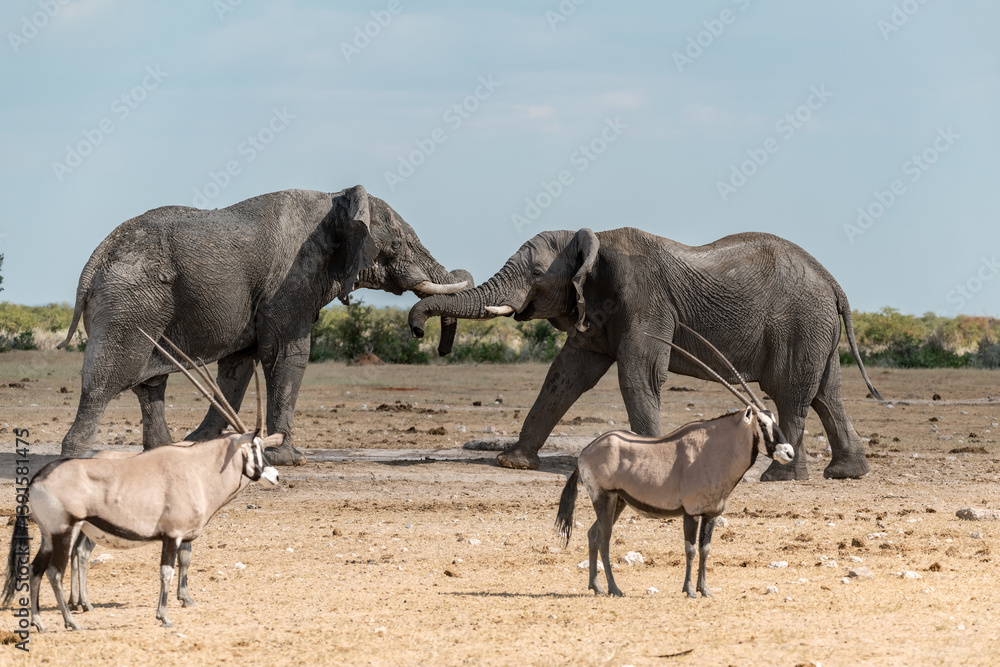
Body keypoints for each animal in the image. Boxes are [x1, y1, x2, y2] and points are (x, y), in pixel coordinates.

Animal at [59, 185, 471, 465]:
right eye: (399, 244)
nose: (421, 334)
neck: (337, 199)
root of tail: (93, 262)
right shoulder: (291, 281)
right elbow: (288, 354)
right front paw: (290, 458)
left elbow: (239, 366)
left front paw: (205, 443)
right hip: (130, 305)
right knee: (107, 381)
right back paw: (76, 460)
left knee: (150, 384)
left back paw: (164, 454)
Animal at [408, 227, 881, 482]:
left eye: (537, 274)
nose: (417, 331)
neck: (593, 240)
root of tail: (833, 282)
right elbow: (564, 376)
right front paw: (513, 463)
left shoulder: (643, 299)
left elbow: (639, 375)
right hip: (817, 328)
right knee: (827, 395)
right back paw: (844, 473)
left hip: (800, 323)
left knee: (792, 394)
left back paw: (779, 476)